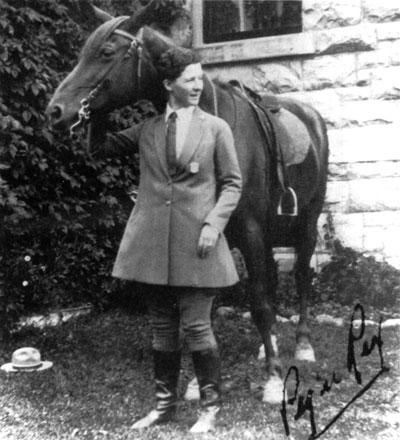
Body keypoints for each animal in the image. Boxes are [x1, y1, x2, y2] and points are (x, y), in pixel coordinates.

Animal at [46, 0, 328, 406]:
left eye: (107, 52)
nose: (56, 110)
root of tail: (312, 118)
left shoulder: (250, 231)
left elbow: (258, 302)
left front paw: (274, 378)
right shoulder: (218, 236)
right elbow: (206, 308)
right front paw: (199, 381)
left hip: (306, 222)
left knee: (303, 276)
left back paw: (303, 345)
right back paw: (268, 345)